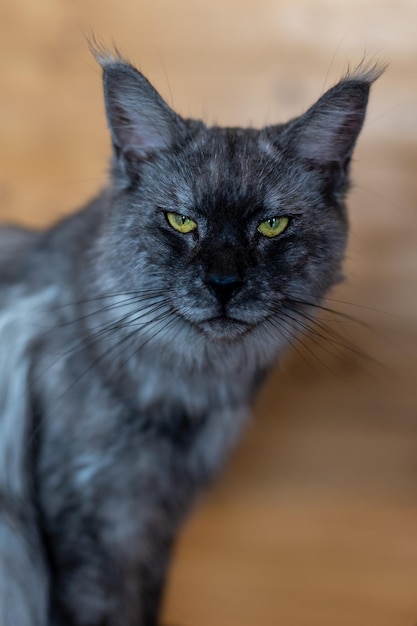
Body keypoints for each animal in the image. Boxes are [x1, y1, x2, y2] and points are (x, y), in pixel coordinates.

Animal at [0, 50, 380, 624]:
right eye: (180, 222)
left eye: (272, 225)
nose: (223, 283)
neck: (195, 388)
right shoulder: (95, 531)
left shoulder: (157, 527)